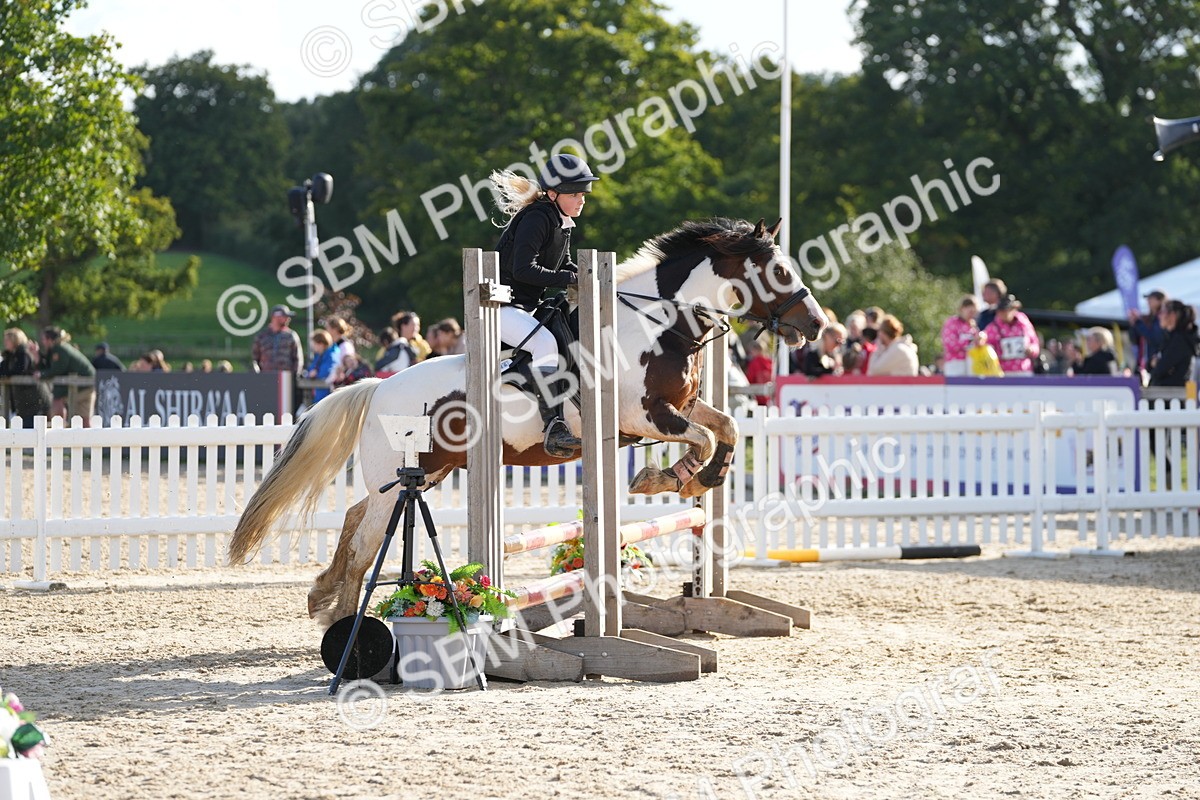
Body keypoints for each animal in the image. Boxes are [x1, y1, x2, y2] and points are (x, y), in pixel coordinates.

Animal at [228, 217, 827, 628]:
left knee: (356, 517)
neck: (654, 323)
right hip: (402, 478)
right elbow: (702, 438)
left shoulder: (678, 407)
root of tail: (377, 387)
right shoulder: (644, 415)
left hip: (427, 471)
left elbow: (724, 427)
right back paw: (342, 622)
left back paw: (322, 597)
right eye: (779, 271)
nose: (816, 326)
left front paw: (692, 477)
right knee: (363, 544)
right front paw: (675, 479)